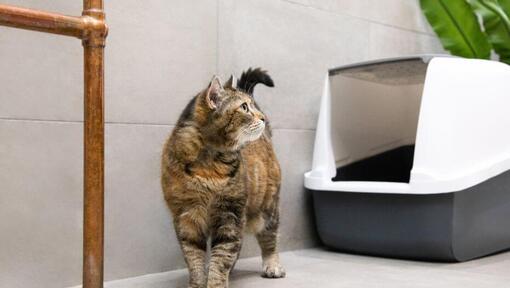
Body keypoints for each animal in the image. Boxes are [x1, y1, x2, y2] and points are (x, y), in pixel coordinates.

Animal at [161, 68, 284, 288]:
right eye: (244, 107)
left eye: (250, 105)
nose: (261, 117)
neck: (210, 165)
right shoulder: (186, 217)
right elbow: (194, 258)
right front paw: (198, 283)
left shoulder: (230, 215)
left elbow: (222, 256)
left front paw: (216, 283)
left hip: (267, 209)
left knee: (270, 239)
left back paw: (272, 265)